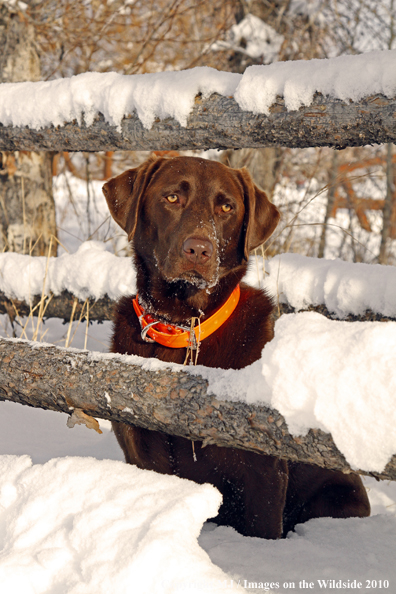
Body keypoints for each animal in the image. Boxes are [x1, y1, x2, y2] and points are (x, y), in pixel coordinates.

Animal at [103, 156, 372, 536]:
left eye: (227, 207)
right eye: (172, 198)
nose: (199, 250)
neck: (183, 327)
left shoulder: (263, 469)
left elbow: (263, 526)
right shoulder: (141, 450)